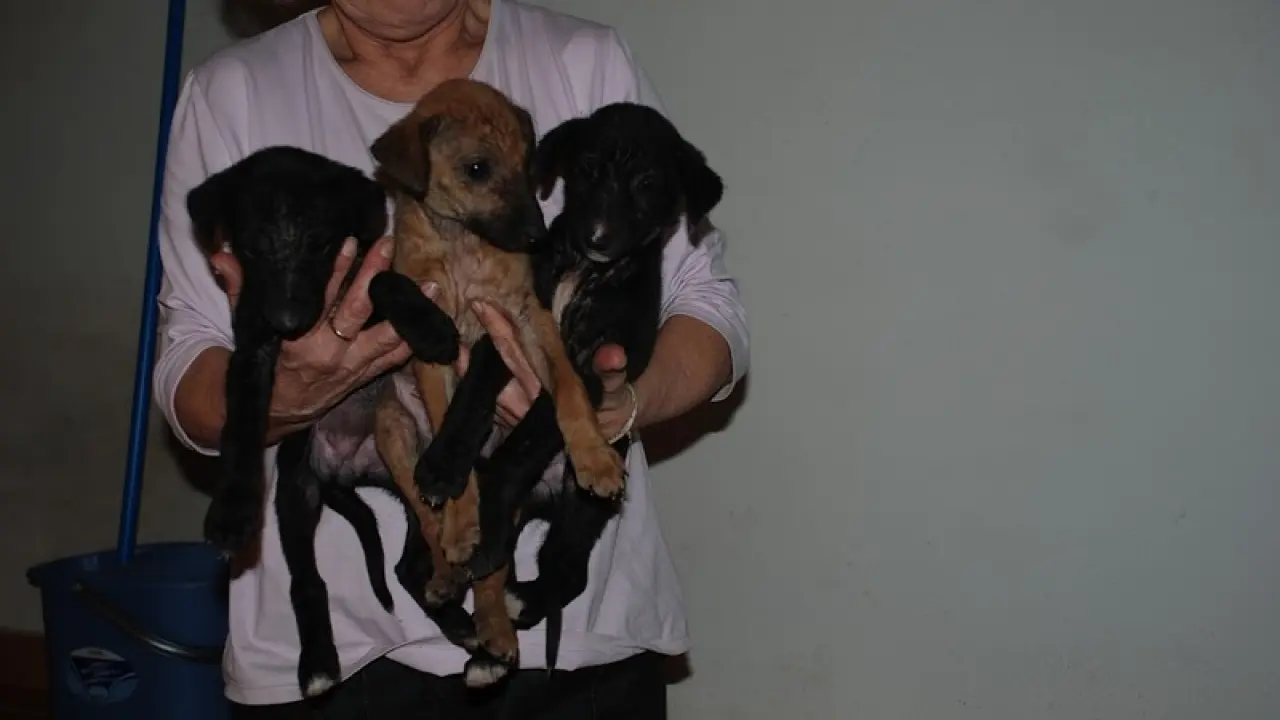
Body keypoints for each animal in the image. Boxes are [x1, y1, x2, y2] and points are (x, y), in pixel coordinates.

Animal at [185, 145, 470, 696]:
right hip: (298, 491)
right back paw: (318, 662)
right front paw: (232, 509)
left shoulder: (363, 272)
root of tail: (349, 471)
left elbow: (381, 277)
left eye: (319, 244)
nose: (288, 321)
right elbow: (240, 428)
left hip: (411, 476)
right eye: (251, 247)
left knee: (409, 565)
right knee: (308, 581)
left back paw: (460, 622)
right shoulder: (252, 348)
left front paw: (429, 324)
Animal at [367, 77, 627, 688]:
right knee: (428, 520)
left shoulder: (528, 321)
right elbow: (448, 425)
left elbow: (570, 391)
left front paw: (594, 457)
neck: (464, 243)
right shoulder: (432, 354)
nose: (536, 238)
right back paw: (449, 564)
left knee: (491, 570)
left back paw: (495, 632)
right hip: (392, 431)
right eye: (478, 168)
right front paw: (457, 511)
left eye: (527, 163)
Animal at [454, 101, 726, 671]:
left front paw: (488, 481)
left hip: (584, 511)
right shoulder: (512, 326)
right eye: (585, 170)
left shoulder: (590, 366)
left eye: (647, 183)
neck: (582, 271)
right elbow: (475, 389)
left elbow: (532, 432)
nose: (598, 236)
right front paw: (447, 461)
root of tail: (546, 493)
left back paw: (520, 597)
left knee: (568, 570)